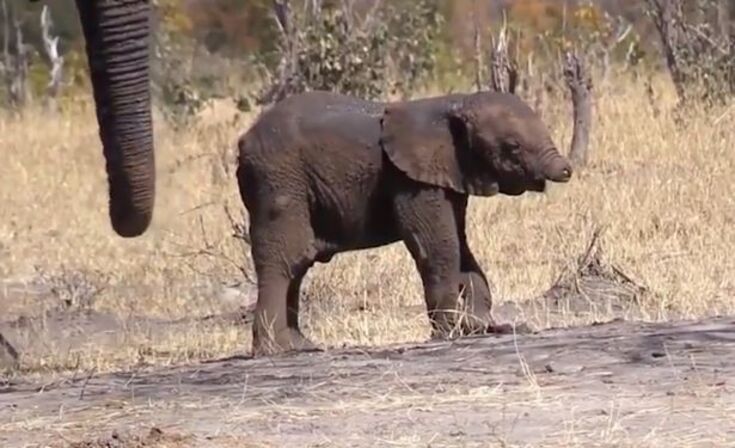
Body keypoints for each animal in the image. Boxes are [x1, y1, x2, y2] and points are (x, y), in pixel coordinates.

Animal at [236, 90, 573, 356]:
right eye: (513, 146)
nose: (567, 170)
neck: (453, 103)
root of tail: (243, 141)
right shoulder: (410, 180)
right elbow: (438, 245)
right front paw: (450, 331)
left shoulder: (449, 175)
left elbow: (461, 245)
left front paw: (481, 326)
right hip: (278, 180)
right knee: (287, 257)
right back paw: (275, 350)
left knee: (298, 263)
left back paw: (302, 347)